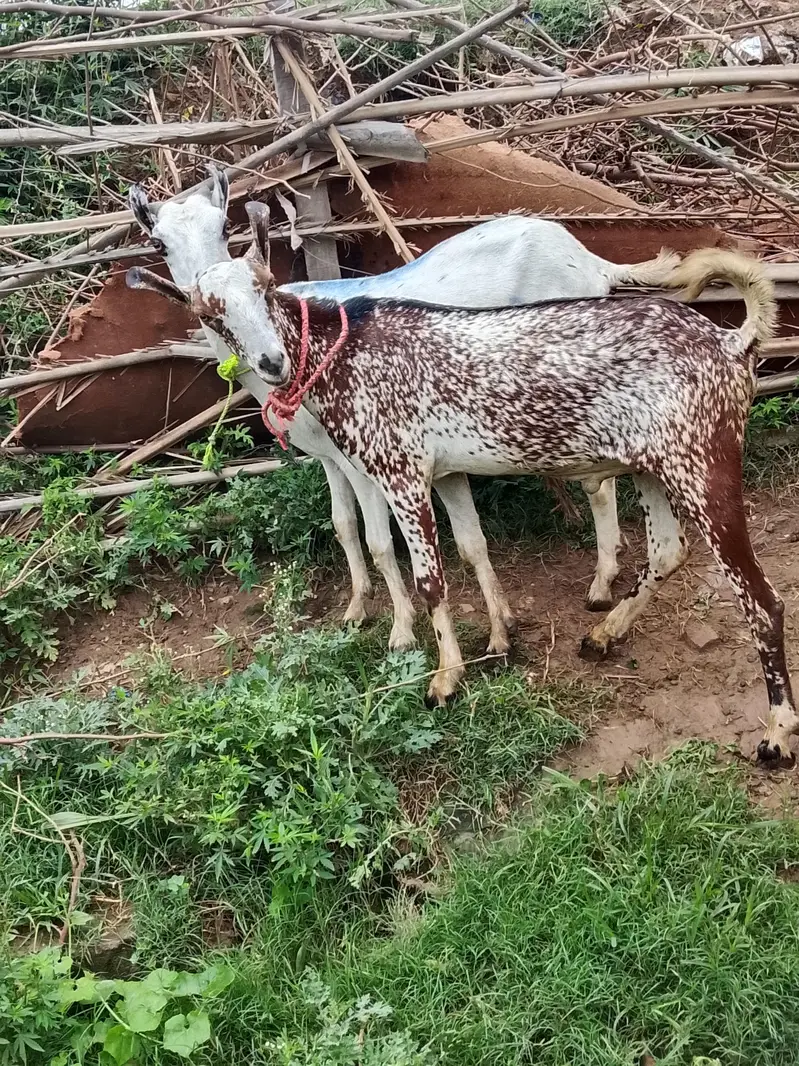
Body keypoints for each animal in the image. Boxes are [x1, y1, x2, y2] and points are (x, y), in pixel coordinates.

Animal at [128, 203, 797, 767]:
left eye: (265, 289)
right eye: (211, 315)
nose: (270, 362)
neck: (342, 351)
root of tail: (731, 342)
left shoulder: (396, 470)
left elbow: (426, 577)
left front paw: (443, 677)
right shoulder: (445, 473)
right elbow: (472, 549)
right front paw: (499, 641)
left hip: (702, 464)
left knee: (760, 599)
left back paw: (775, 732)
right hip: (652, 466)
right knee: (666, 551)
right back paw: (604, 633)